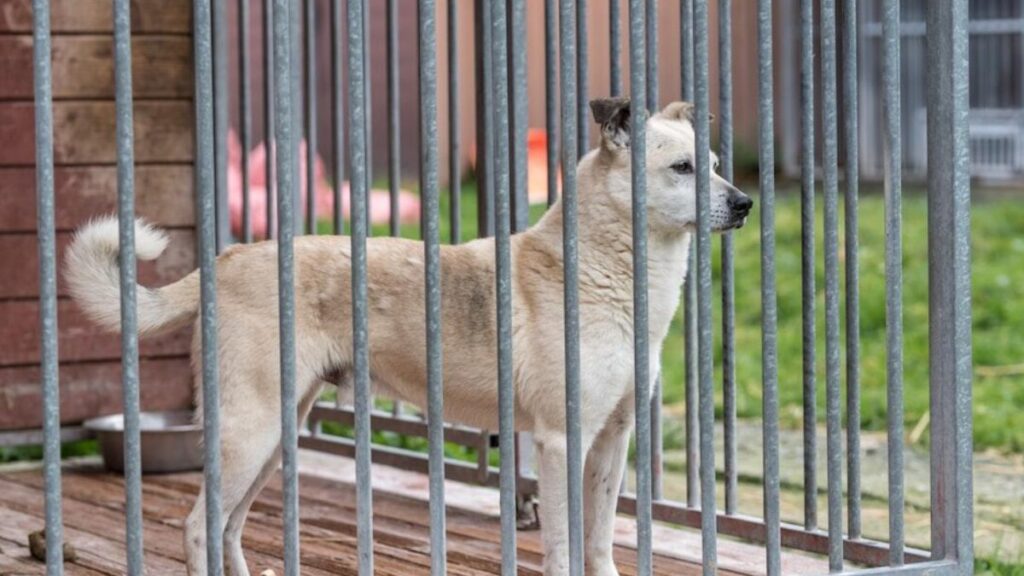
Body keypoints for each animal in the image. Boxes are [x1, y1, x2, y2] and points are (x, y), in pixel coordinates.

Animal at [66, 98, 753, 573]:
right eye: (682, 168)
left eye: (718, 167)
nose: (745, 203)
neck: (606, 273)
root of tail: (227, 259)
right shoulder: (562, 442)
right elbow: (563, 544)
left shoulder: (613, 440)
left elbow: (601, 541)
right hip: (249, 432)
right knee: (196, 526)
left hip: (275, 437)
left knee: (228, 527)